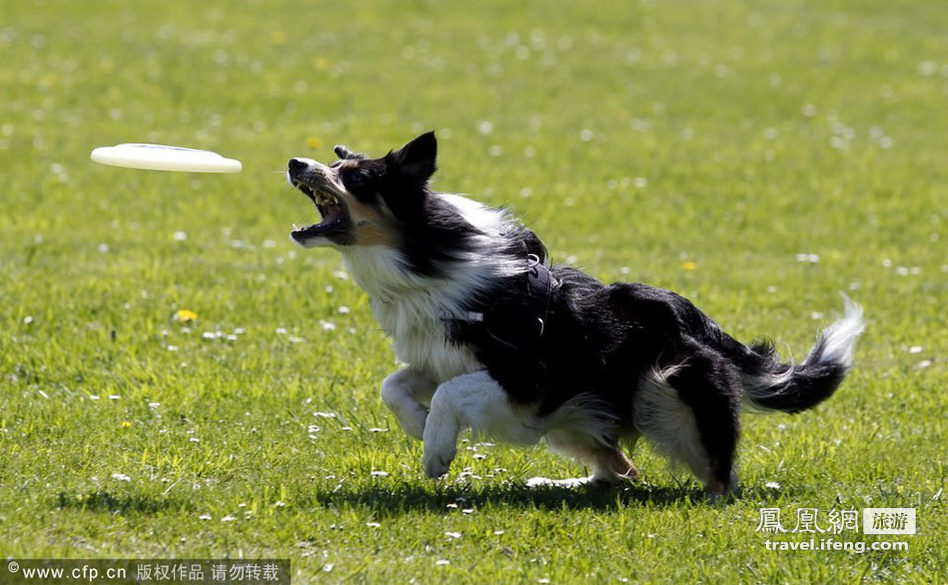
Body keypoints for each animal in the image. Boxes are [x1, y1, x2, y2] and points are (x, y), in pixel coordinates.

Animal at [286, 132, 864, 498]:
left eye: (357, 177)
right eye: (336, 164)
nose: (296, 162)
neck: (428, 256)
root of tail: (702, 322)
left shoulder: (528, 378)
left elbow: (450, 393)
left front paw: (435, 452)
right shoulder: (438, 354)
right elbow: (394, 384)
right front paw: (419, 424)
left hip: (669, 386)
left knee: (717, 472)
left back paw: (712, 500)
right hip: (576, 419)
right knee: (621, 470)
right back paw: (555, 484)